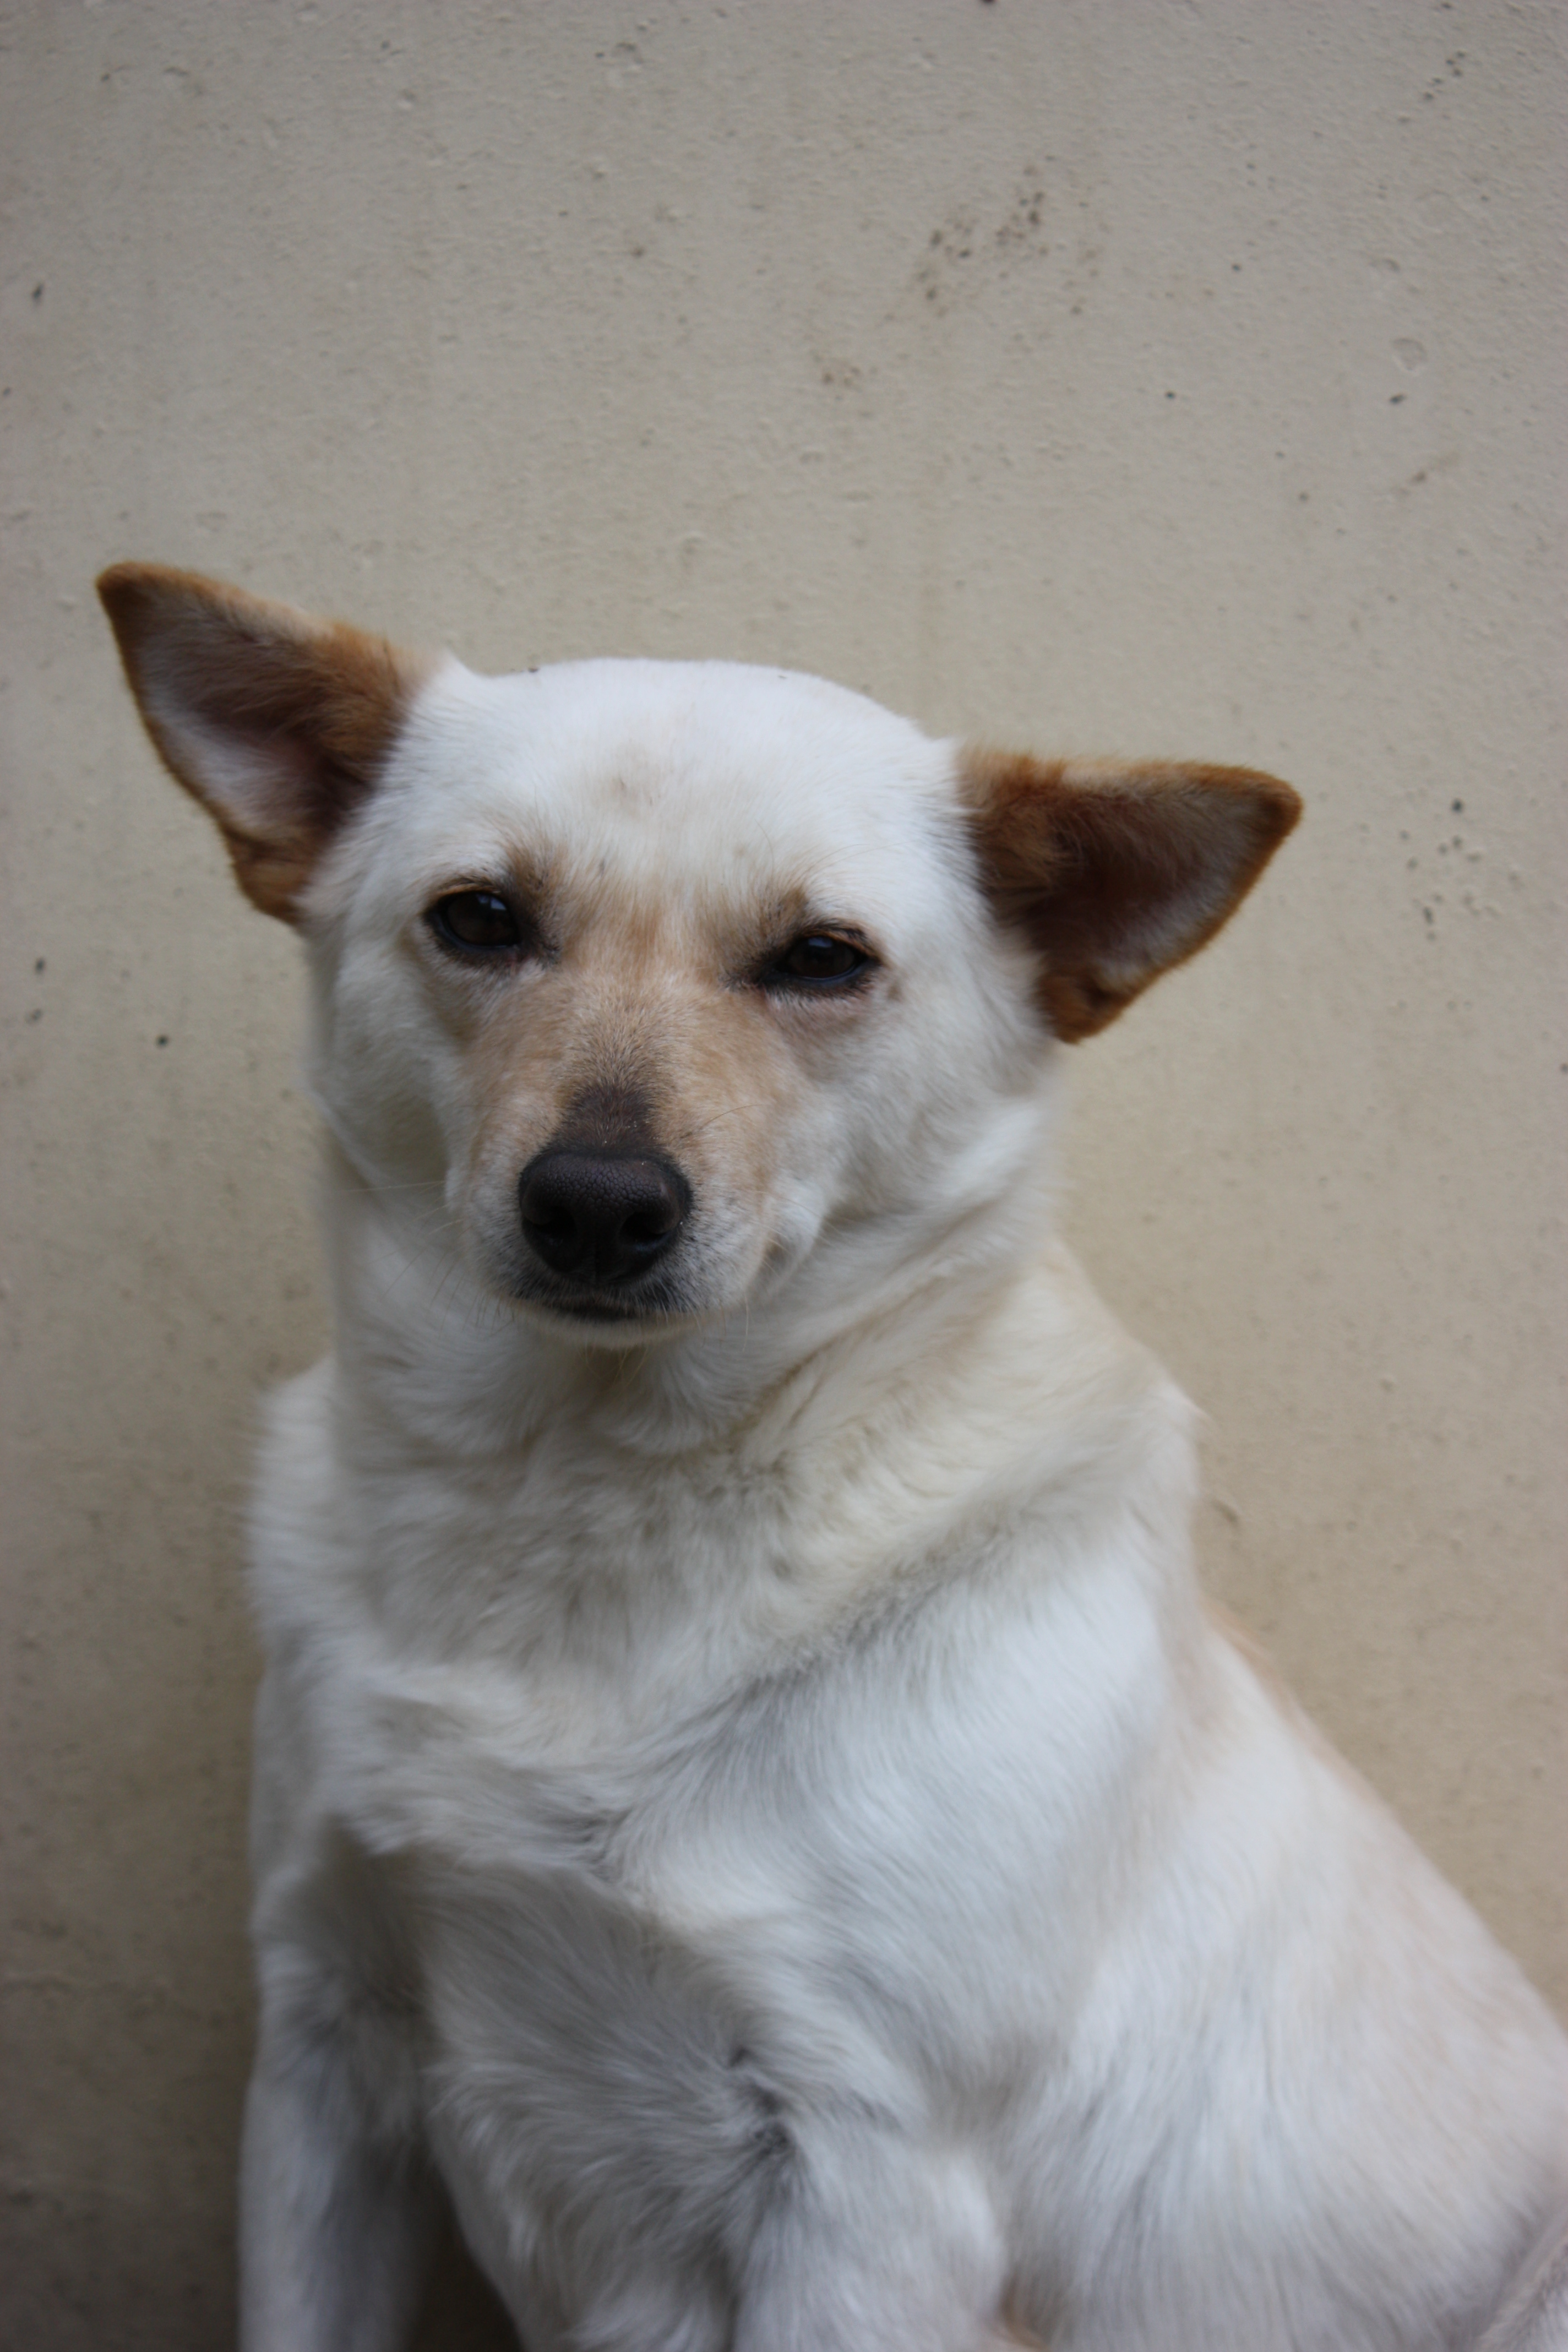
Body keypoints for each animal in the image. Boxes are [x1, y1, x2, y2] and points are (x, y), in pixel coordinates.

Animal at [100, 563, 1568, 2352]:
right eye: (480, 919)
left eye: (818, 957)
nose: (597, 1202)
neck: (579, 1501)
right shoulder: (324, 2049)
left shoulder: (868, 2182)